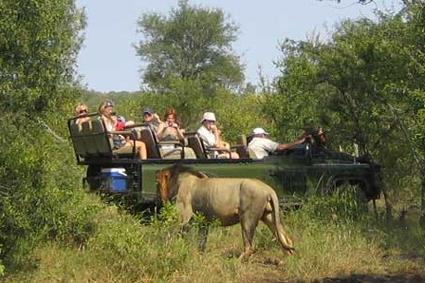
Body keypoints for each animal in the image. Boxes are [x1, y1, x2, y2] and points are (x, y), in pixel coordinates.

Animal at [156, 164, 294, 260]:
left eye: (157, 184)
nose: (158, 198)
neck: (179, 181)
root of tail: (269, 189)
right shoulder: (203, 223)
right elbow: (201, 242)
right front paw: (199, 256)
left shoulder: (183, 217)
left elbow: (170, 235)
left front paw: (166, 253)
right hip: (270, 217)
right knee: (286, 240)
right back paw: (287, 259)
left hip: (247, 219)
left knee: (249, 247)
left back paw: (236, 261)